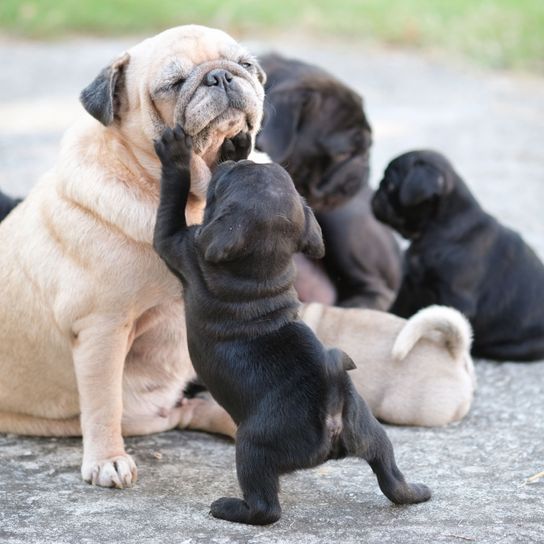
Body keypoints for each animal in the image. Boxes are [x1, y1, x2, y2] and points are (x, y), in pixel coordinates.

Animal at [152, 125, 430, 524]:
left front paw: (175, 154)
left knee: (266, 508)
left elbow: (171, 200)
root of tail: (331, 416)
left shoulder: (179, 244)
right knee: (389, 471)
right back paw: (417, 492)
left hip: (252, 446)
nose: (235, 159)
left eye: (227, 181)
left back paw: (230, 508)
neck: (261, 269)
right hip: (370, 431)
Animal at [372, 149, 544, 362]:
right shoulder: (409, 286)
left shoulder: (455, 297)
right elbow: (396, 308)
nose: (375, 192)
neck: (435, 228)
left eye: (389, 184)